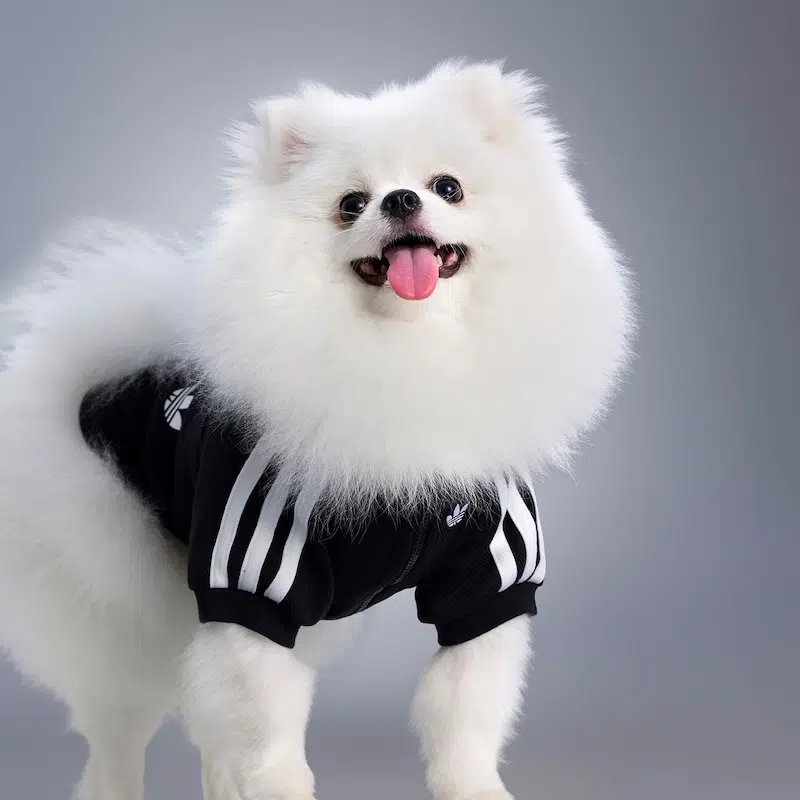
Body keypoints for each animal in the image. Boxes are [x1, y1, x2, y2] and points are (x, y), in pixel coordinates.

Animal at [0, 60, 634, 799]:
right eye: (351, 204)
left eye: (447, 186)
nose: (400, 200)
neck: (407, 355)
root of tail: (91, 376)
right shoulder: (254, 573)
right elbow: (268, 723)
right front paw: (278, 787)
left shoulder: (489, 575)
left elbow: (464, 714)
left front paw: (475, 787)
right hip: (114, 594)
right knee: (118, 731)